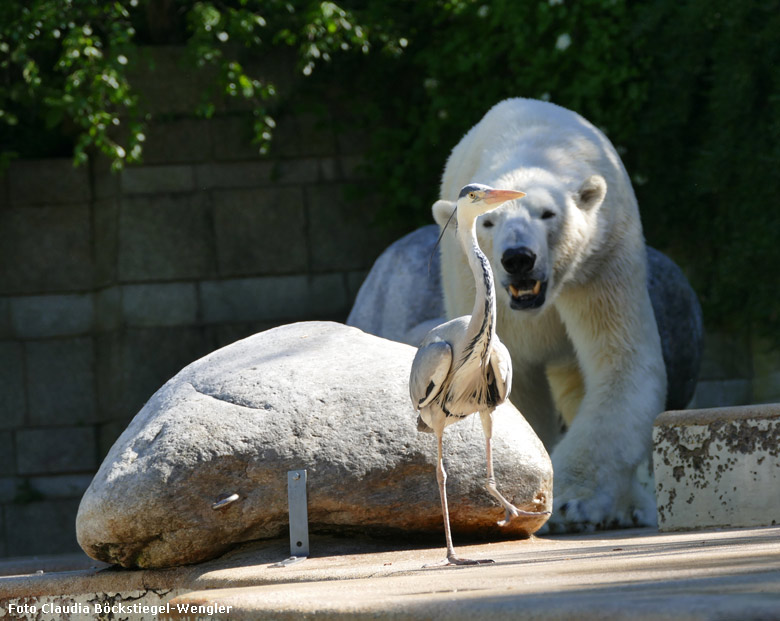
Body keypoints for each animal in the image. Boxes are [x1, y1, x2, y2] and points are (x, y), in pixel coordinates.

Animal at [432, 99, 664, 532]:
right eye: (489, 221)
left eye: (547, 213)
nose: (518, 258)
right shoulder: (477, 287)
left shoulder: (601, 262)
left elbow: (622, 362)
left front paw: (572, 503)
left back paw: (635, 506)